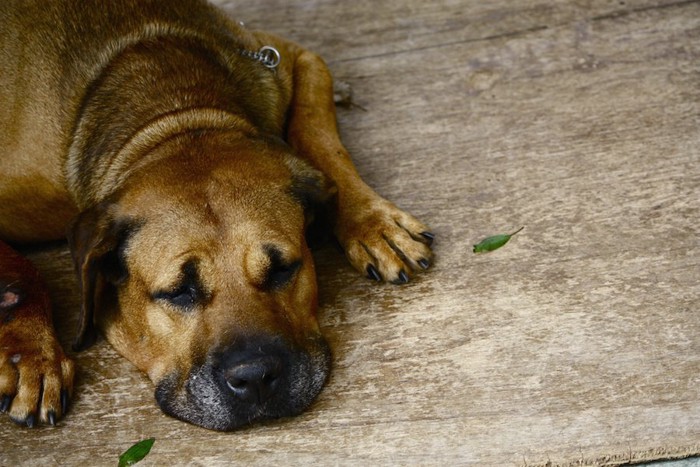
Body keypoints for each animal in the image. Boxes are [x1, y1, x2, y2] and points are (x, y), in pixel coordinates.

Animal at [0, 0, 434, 432]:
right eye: (178, 291)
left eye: (282, 269)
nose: (255, 377)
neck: (177, 113)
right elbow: (24, 269)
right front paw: (32, 355)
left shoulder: (293, 59)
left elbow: (320, 137)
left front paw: (374, 222)